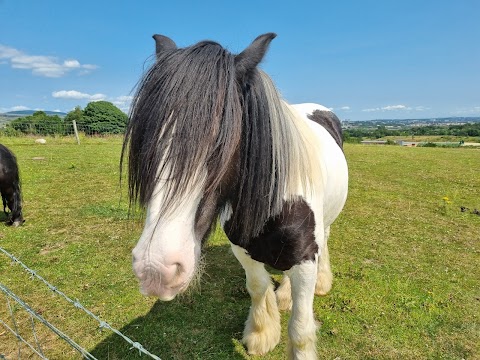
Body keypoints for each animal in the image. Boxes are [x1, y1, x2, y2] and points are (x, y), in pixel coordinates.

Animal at [123, 32, 348, 358]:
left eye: (223, 141)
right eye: (147, 139)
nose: (156, 270)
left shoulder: (306, 258)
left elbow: (301, 329)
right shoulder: (243, 249)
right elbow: (258, 287)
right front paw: (261, 333)